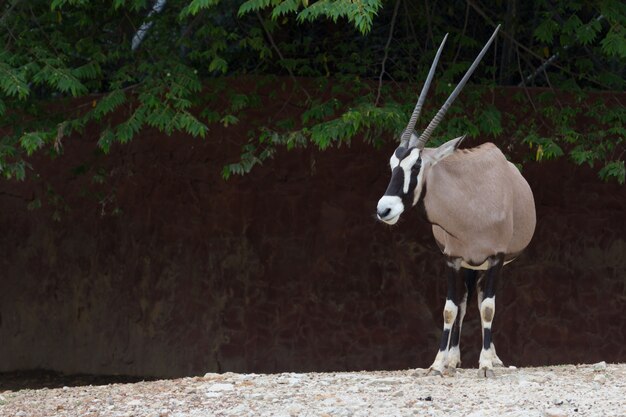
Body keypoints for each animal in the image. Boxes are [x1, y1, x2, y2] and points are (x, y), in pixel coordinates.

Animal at [372, 26, 532, 376]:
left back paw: (492, 358)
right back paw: (454, 358)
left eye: (416, 165)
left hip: (488, 264)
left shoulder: (496, 257)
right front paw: (437, 363)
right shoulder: (452, 258)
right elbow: (449, 308)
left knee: (481, 300)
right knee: (463, 302)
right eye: (392, 164)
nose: (384, 209)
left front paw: (485, 363)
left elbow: (488, 307)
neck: (470, 204)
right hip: (469, 266)